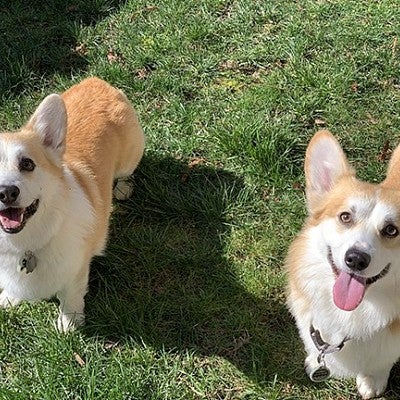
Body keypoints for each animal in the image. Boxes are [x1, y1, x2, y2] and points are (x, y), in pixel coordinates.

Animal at [0, 77, 145, 332]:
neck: (22, 243)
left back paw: (123, 188)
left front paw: (69, 324)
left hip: (131, 158)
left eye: (27, 164)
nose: (6, 193)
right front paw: (9, 297)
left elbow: (71, 297)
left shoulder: (76, 270)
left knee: (127, 173)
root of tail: (96, 81)